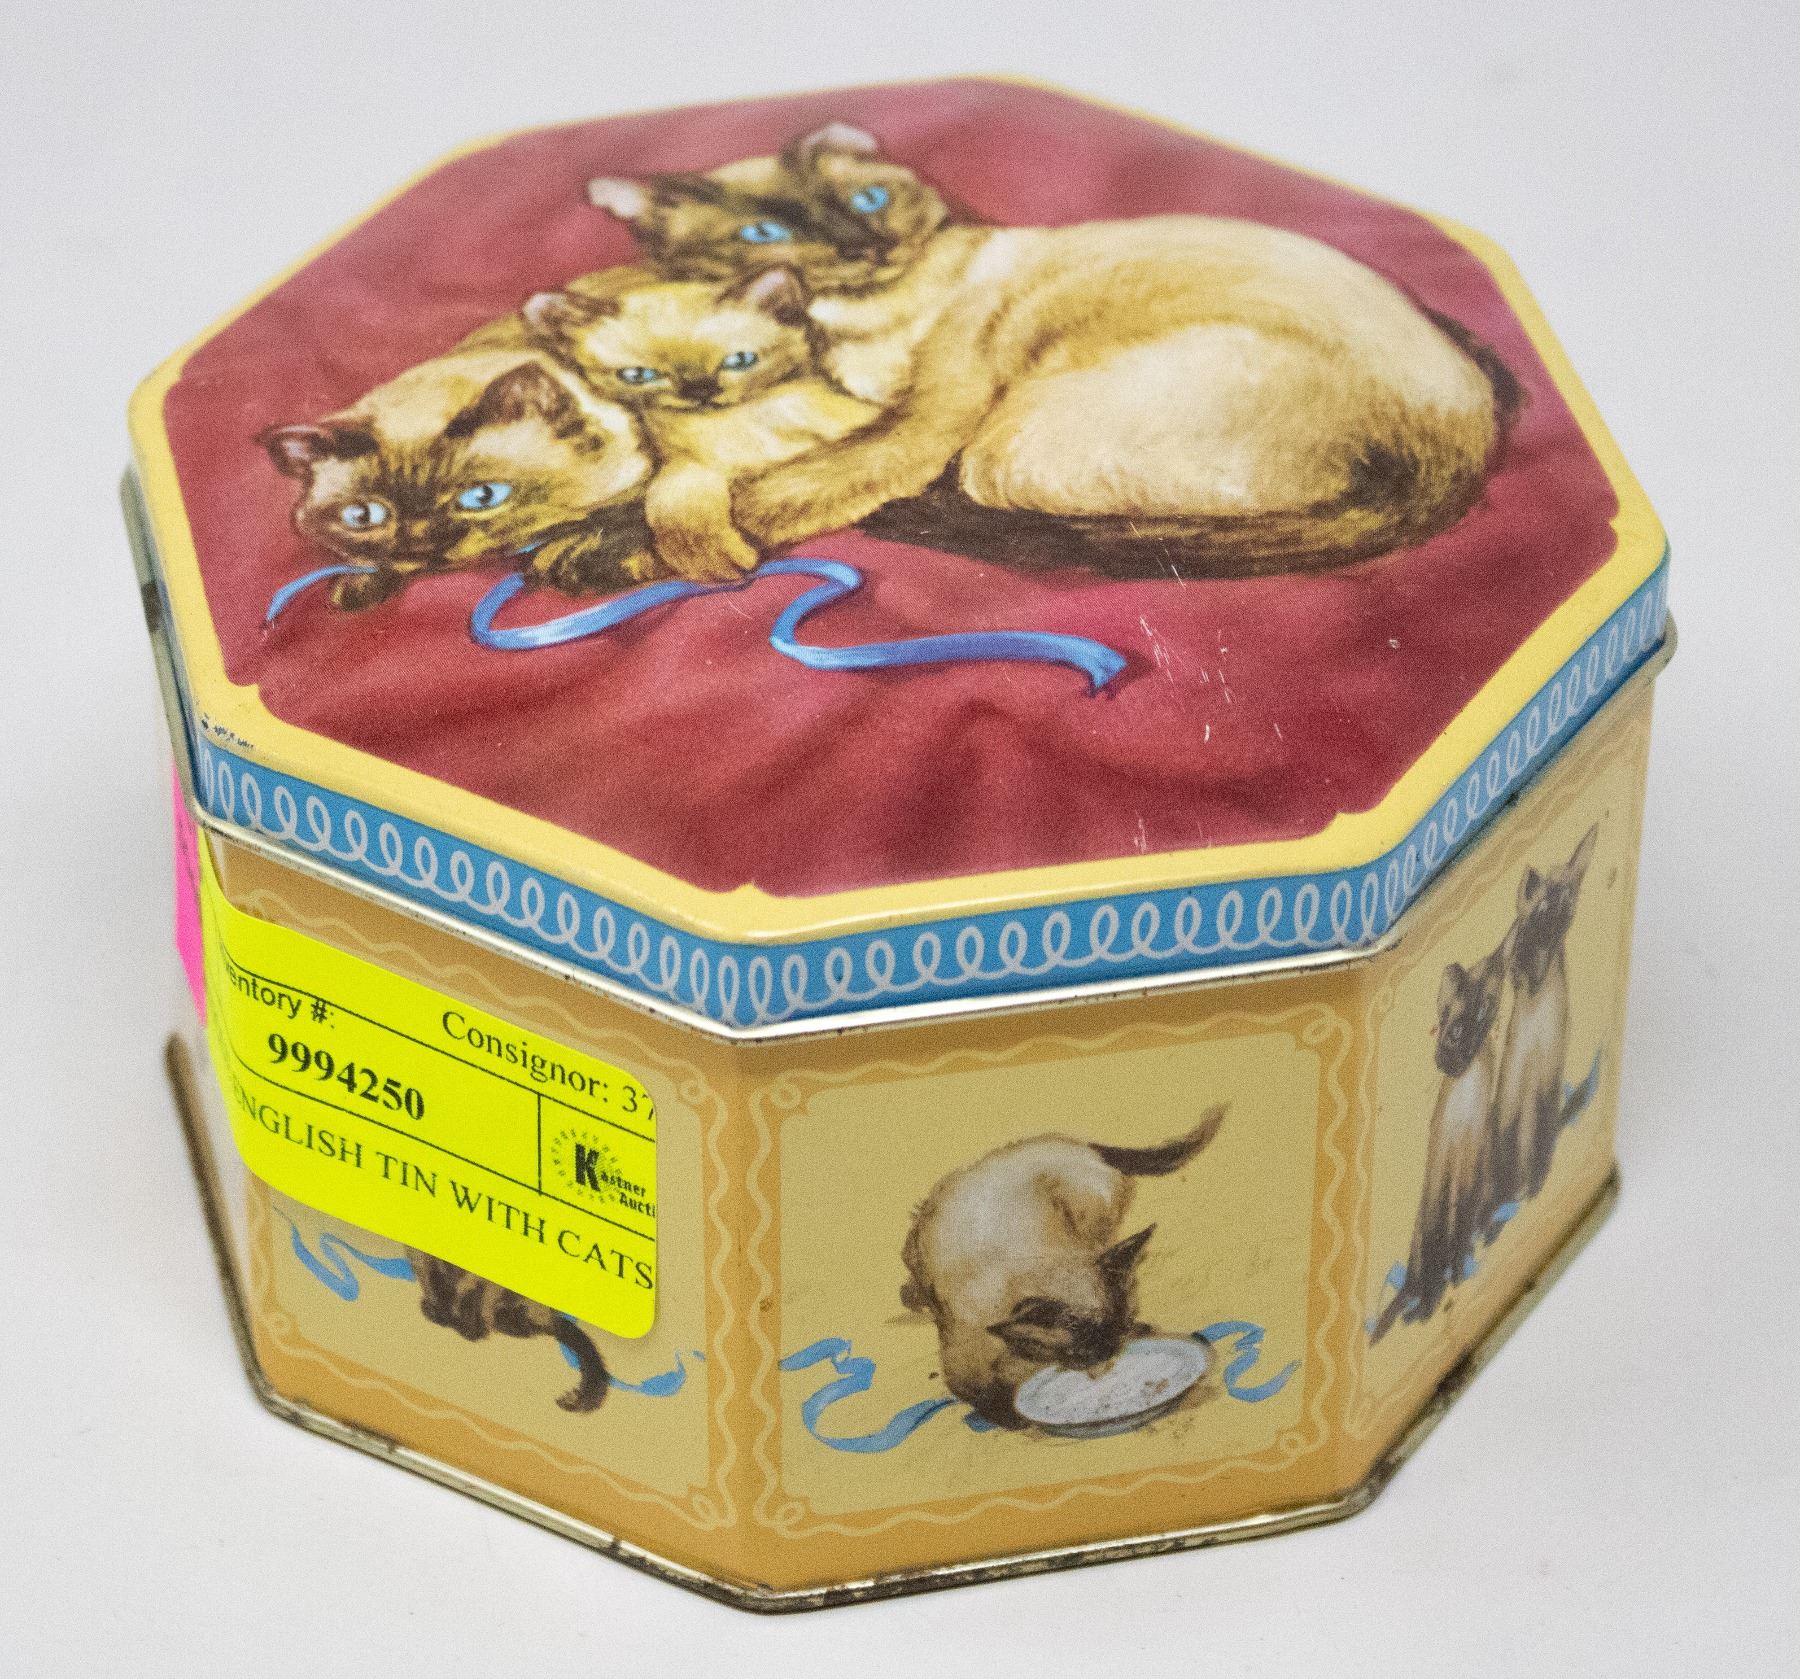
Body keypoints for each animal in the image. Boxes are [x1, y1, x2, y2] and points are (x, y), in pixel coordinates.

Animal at [261, 322, 658, 606]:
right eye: (363, 516)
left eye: (482, 496)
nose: (420, 544)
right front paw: (359, 585)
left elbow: (631, 515)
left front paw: (574, 557)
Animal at [523, 265, 876, 581]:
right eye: (638, 375)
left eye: (740, 360)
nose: (700, 391)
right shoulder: (685, 467)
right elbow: (674, 505)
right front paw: (714, 559)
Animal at [590, 122, 1520, 579]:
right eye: (766, 233)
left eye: (867, 200)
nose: (864, 244)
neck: (851, 327)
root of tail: (1463, 443)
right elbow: (686, 476)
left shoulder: (921, 419)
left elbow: (812, 481)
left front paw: (718, 533)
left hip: (1006, 446)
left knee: (994, 501)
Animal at [900, 1105, 1225, 1429]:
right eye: (1085, 1341)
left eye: (1120, 1326)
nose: (1110, 1351)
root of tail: (1073, 1143)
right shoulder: (968, 1371)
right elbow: (995, 1401)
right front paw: (1018, 1417)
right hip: (917, 1240)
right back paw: (913, 1295)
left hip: (1092, 1207)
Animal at [1371, 941, 1510, 1341]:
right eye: (1455, 1031)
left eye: (1486, 1011)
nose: (1453, 1062)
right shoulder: (1441, 1179)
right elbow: (1438, 1249)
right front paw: (1425, 1309)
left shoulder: (1470, 1176)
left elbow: (1459, 1238)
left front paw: (1456, 1281)